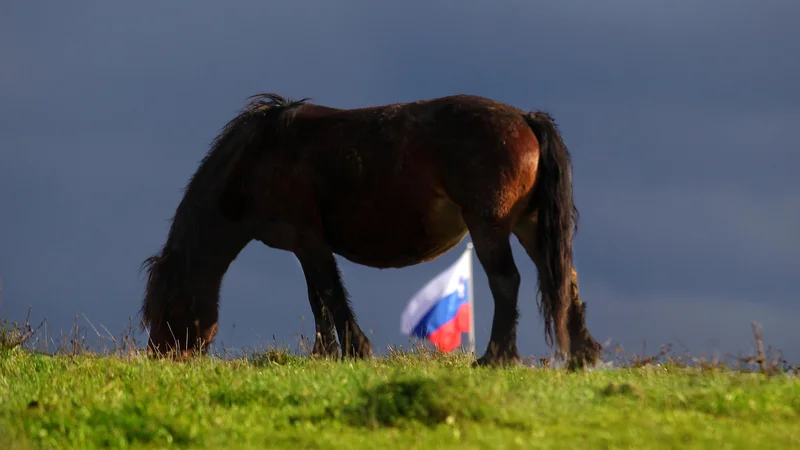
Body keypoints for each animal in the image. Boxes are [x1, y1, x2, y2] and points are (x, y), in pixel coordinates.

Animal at [139, 92, 600, 370]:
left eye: (165, 309)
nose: (161, 356)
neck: (259, 158)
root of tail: (525, 118)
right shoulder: (304, 247)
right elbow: (318, 300)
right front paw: (323, 355)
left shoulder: (309, 240)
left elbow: (331, 295)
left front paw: (355, 351)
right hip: (529, 225)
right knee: (565, 280)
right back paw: (582, 355)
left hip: (490, 225)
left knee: (507, 281)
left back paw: (494, 358)